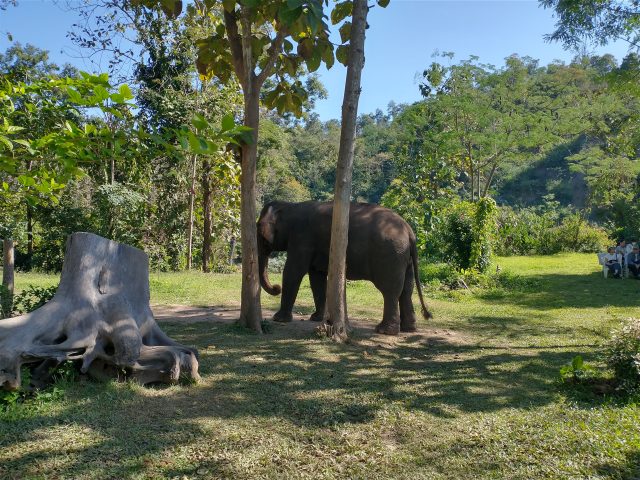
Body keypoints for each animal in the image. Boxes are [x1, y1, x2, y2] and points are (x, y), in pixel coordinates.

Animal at [258, 201, 432, 336]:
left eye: (259, 229)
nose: (276, 287)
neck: (291, 206)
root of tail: (409, 231)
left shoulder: (301, 238)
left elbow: (293, 272)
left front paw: (278, 319)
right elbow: (317, 277)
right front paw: (316, 318)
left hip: (390, 255)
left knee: (390, 291)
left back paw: (384, 331)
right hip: (404, 257)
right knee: (406, 290)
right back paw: (409, 329)